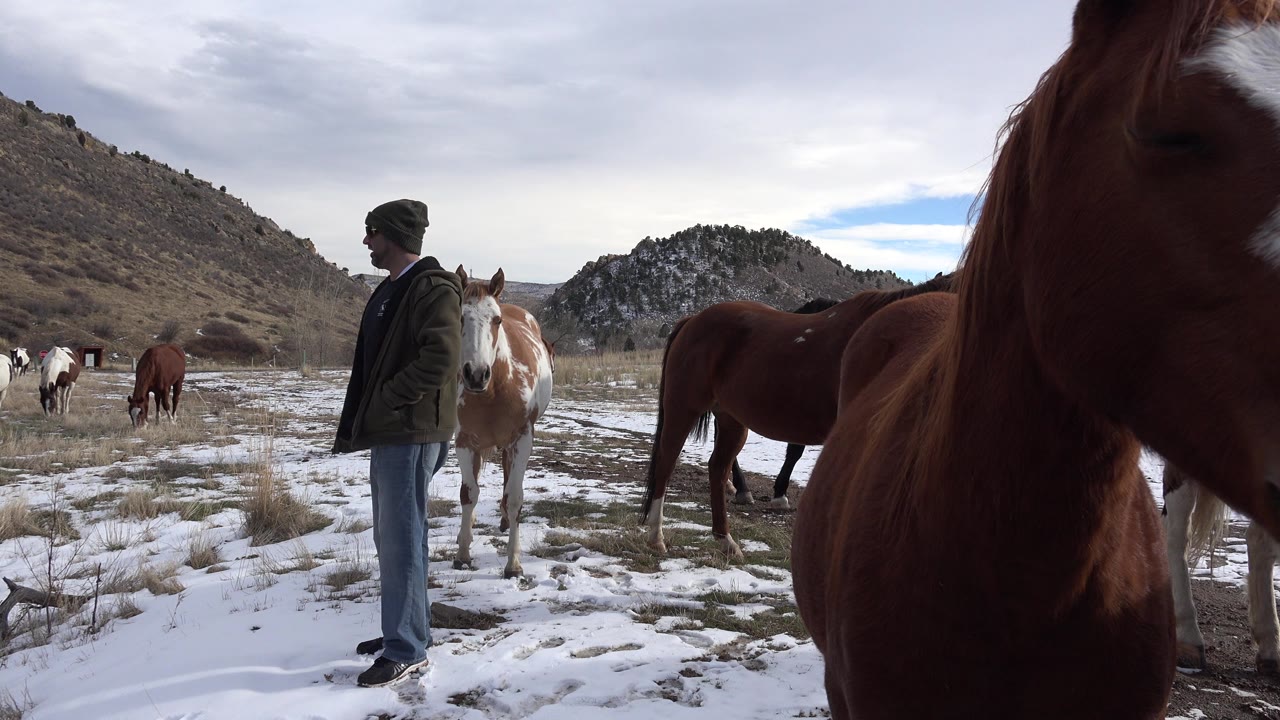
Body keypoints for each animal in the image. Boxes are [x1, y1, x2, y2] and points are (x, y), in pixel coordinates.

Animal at [451, 266, 554, 579]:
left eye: (496, 320)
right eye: (461, 316)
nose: (475, 374)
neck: (496, 388)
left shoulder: (522, 439)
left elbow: (516, 497)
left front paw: (513, 564)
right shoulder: (465, 442)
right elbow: (468, 493)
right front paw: (462, 554)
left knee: (509, 483)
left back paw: (506, 521)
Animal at [640, 272, 955, 559]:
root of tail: (693, 320)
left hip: (731, 420)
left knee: (717, 468)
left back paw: (727, 540)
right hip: (683, 408)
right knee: (666, 463)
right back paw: (657, 538)